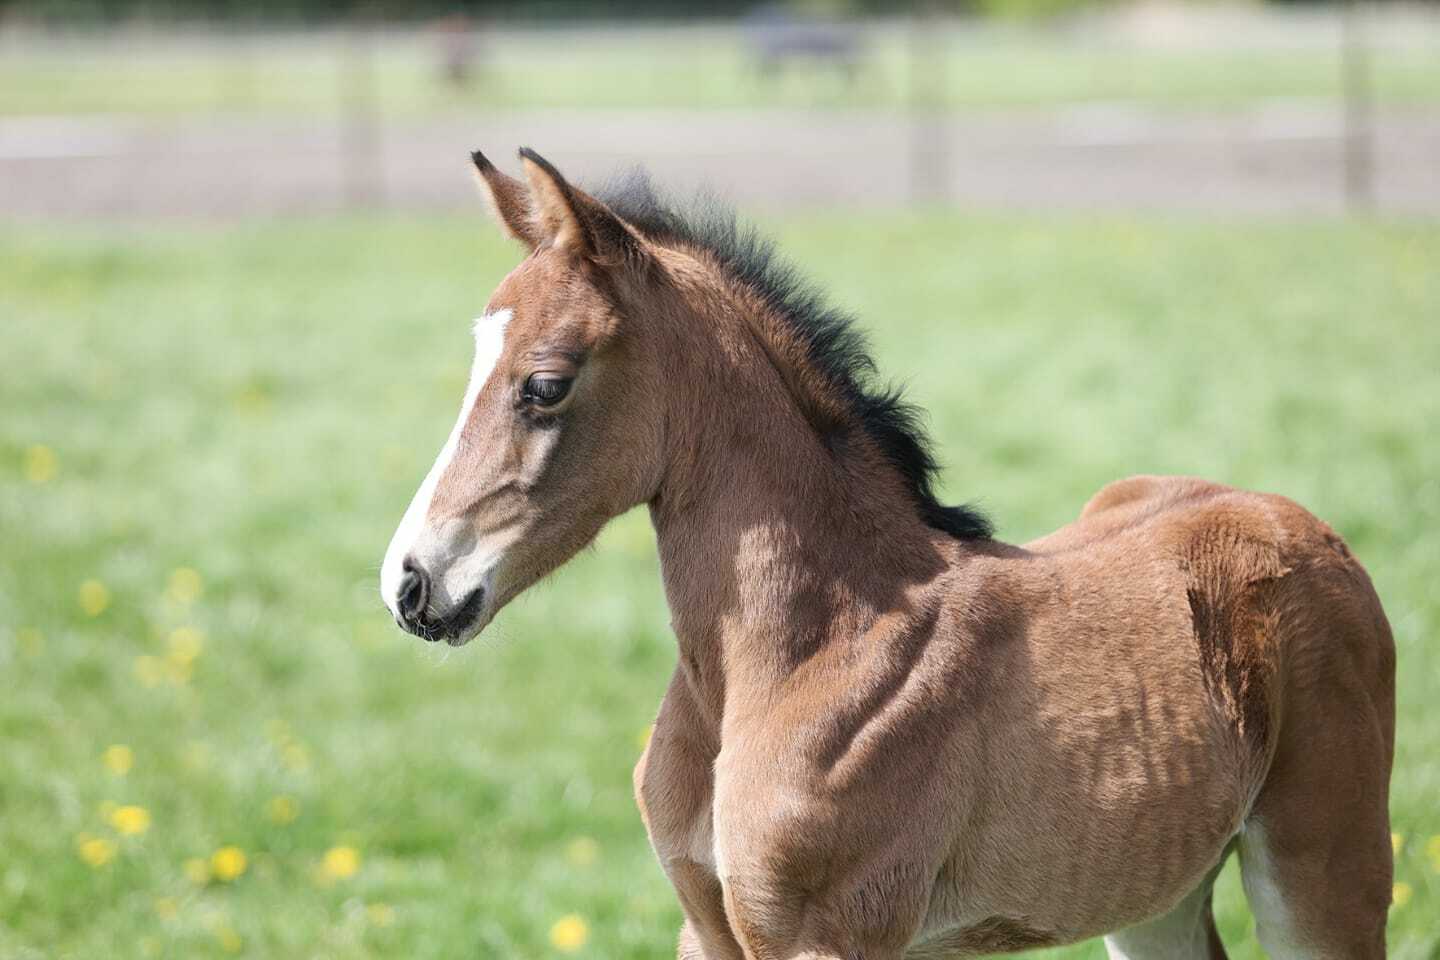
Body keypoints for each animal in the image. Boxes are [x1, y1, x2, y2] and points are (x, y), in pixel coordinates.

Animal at [380, 150, 1393, 960]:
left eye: (545, 385)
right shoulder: (705, 926)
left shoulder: (828, 934)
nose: (411, 583)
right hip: (1156, 891)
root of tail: (1308, 529)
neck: (810, 649)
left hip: (1325, 866)